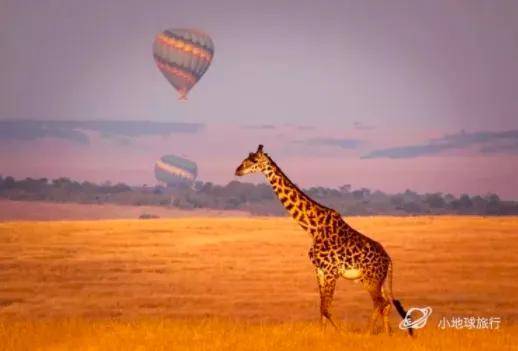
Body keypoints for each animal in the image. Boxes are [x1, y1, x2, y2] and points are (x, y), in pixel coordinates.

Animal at [236, 145, 414, 336]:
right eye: (246, 158)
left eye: (253, 160)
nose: (237, 170)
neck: (313, 228)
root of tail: (388, 260)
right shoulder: (319, 270)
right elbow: (321, 308)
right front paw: (322, 334)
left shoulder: (331, 271)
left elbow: (327, 309)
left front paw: (341, 334)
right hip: (375, 280)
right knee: (385, 305)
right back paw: (387, 334)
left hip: (370, 280)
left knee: (381, 303)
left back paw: (367, 333)